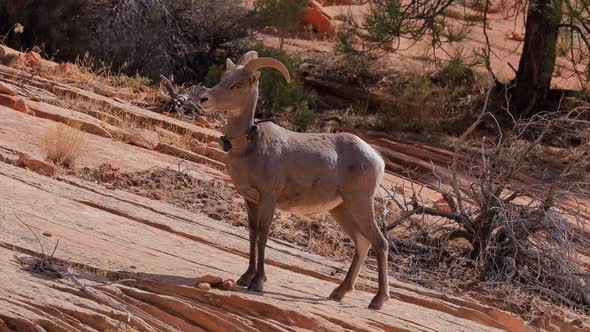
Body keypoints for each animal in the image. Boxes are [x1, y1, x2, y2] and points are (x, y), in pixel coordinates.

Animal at [198, 50, 394, 310]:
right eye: (224, 77)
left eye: (237, 84)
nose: (204, 98)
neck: (249, 146)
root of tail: (377, 159)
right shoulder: (250, 200)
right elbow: (251, 235)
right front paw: (245, 277)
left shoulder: (268, 199)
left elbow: (262, 236)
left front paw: (258, 282)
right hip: (341, 209)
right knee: (363, 243)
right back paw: (339, 292)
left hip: (360, 202)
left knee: (380, 243)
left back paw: (377, 300)